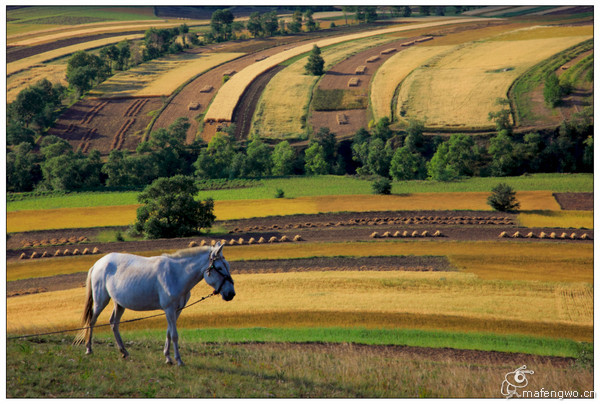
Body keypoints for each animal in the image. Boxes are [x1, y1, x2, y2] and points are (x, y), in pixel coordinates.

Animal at [74, 243, 233, 366]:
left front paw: (168, 358)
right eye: (219, 268)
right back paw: (89, 349)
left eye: (228, 266)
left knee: (113, 323)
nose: (231, 293)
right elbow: (174, 335)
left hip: (119, 304)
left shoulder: (176, 310)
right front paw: (178, 360)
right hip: (101, 300)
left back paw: (124, 352)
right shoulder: (169, 309)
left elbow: (169, 333)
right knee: (92, 321)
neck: (176, 274)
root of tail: (98, 263)